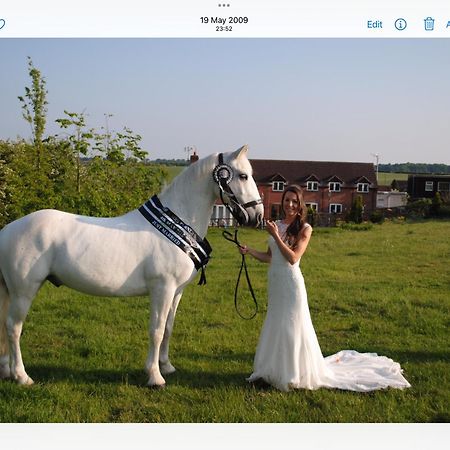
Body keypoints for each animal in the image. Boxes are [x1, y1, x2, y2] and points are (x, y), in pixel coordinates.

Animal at [0, 145, 264, 386]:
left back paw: (6, 371)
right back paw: (22, 376)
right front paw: (155, 376)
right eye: (243, 175)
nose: (257, 216)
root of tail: (7, 230)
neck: (176, 222)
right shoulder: (162, 288)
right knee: (13, 327)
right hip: (24, 291)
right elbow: (156, 330)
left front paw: (166, 366)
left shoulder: (176, 291)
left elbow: (168, 328)